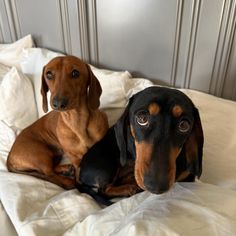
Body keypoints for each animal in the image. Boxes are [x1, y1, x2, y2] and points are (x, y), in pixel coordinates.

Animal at [7, 55, 109, 190]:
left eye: (75, 73)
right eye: (49, 74)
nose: (58, 103)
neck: (78, 121)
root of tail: (9, 156)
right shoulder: (74, 157)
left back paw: (65, 169)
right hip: (41, 154)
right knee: (48, 173)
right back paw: (68, 180)